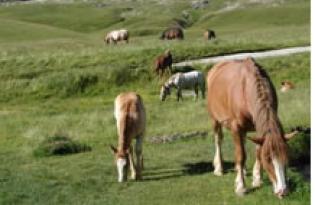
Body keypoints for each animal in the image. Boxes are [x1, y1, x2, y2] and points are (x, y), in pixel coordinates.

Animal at [209, 57, 298, 197]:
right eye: (268, 160)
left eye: (286, 158)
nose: (282, 191)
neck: (246, 89)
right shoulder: (236, 127)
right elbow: (240, 155)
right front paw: (241, 186)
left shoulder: (258, 129)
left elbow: (256, 151)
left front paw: (257, 178)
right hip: (215, 119)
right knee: (218, 140)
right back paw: (219, 168)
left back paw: (243, 170)